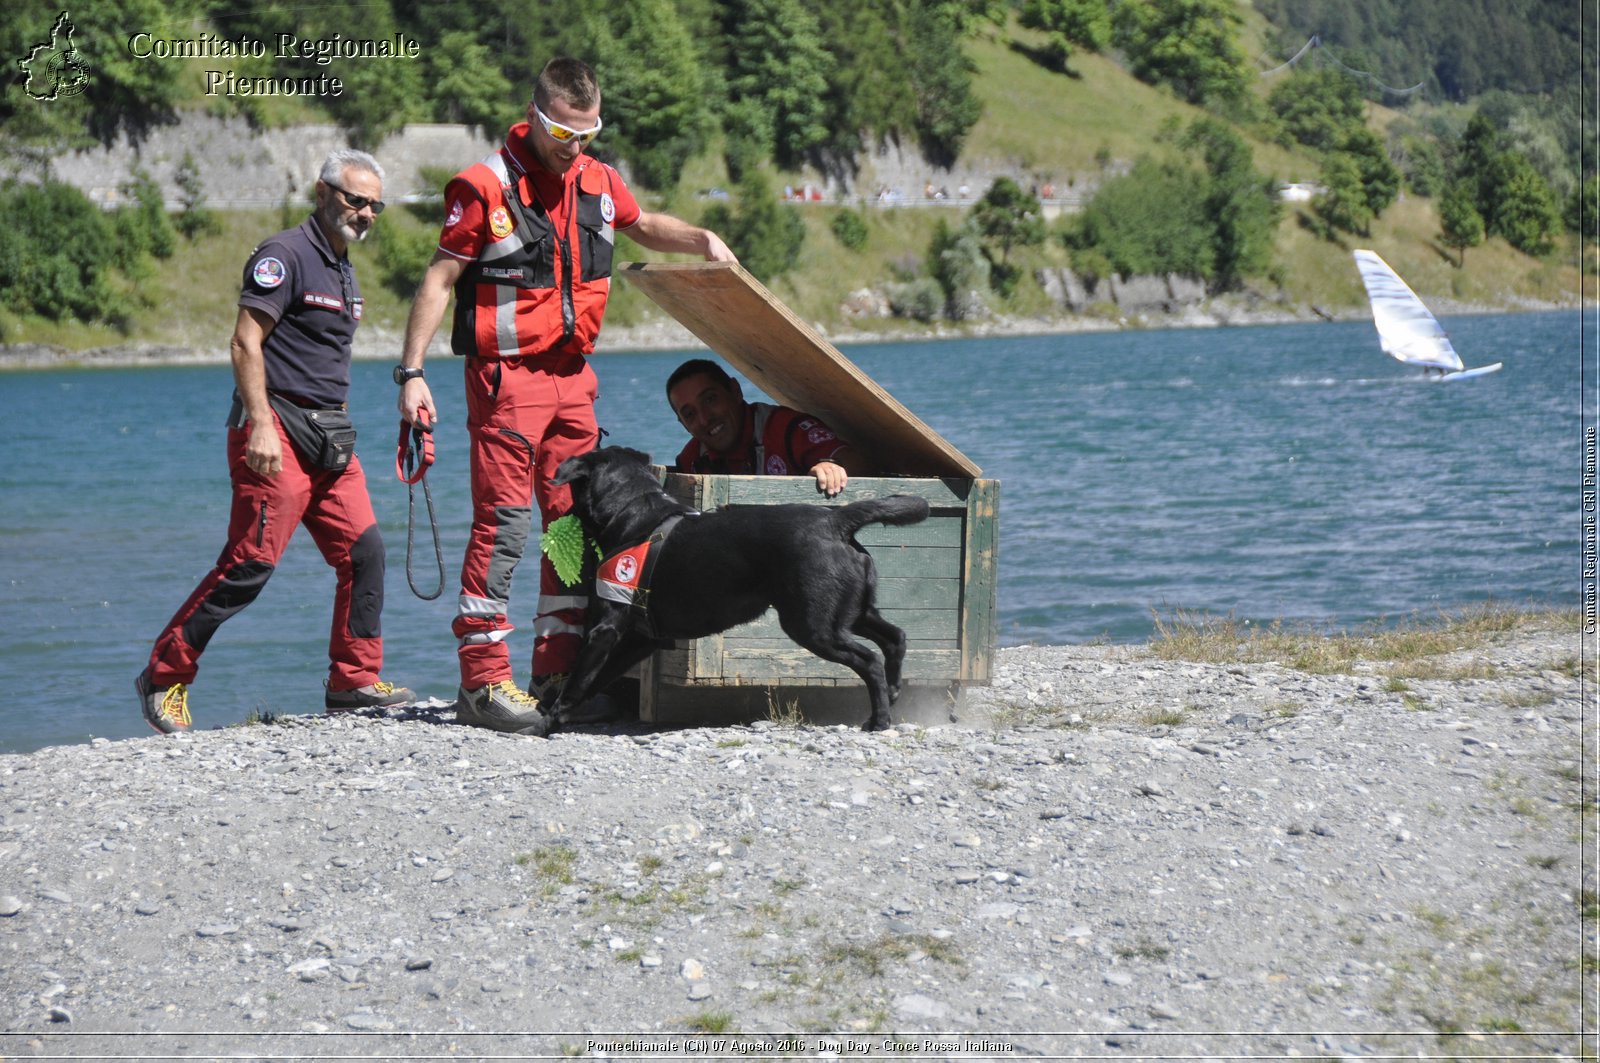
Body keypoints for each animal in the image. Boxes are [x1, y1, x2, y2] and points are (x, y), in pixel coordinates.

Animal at [550, 445, 934, 730]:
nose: (559, 511)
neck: (633, 513)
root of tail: (836, 520)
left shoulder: (606, 628)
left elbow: (579, 677)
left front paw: (553, 717)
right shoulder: (644, 638)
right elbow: (598, 677)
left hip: (813, 625)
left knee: (869, 658)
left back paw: (879, 720)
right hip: (851, 611)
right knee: (895, 637)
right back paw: (894, 690)